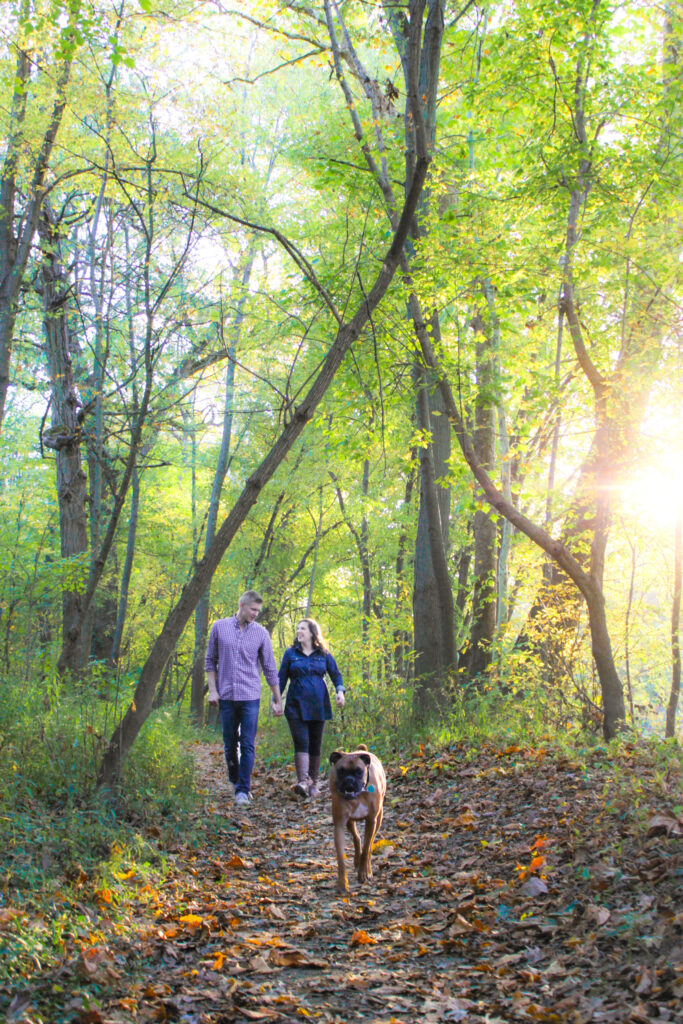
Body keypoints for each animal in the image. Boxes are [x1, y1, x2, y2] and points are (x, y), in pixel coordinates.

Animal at [329, 741, 387, 892]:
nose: (349, 780)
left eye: (359, 771)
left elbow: (367, 849)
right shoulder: (339, 825)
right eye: (341, 771)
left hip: (378, 819)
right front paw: (342, 883)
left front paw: (363, 874)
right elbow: (341, 858)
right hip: (350, 822)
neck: (358, 796)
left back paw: (368, 869)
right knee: (357, 838)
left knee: (369, 845)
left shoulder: (371, 821)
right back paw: (356, 860)